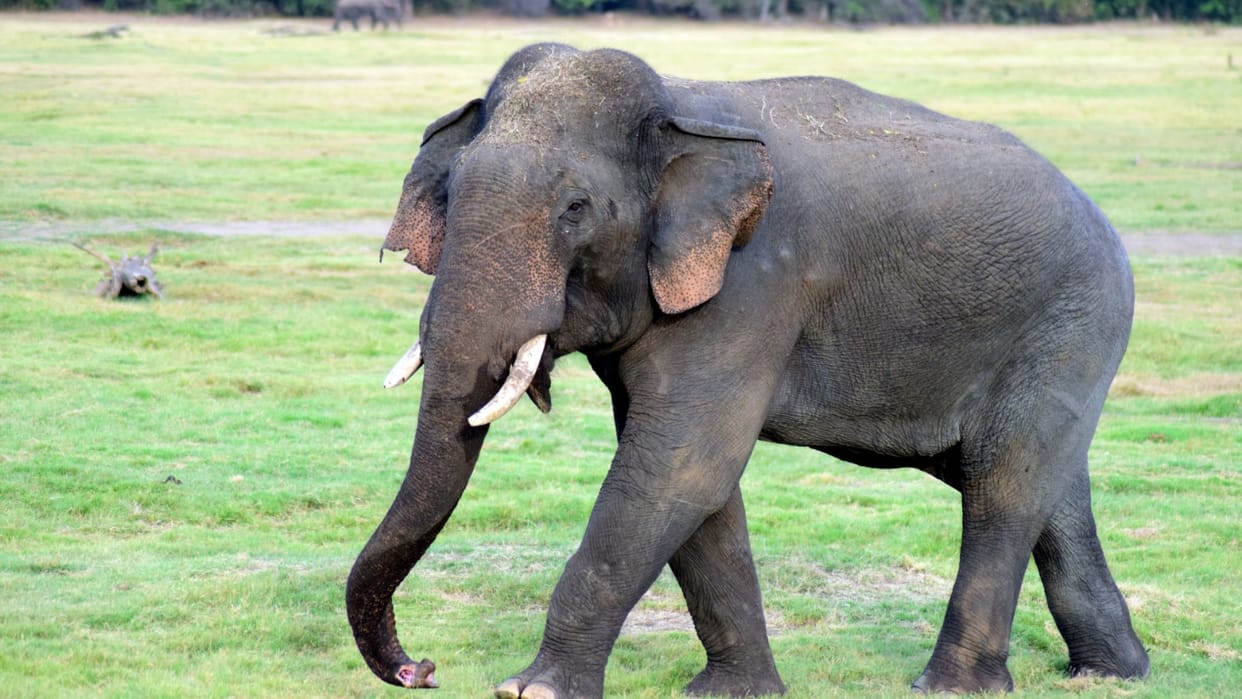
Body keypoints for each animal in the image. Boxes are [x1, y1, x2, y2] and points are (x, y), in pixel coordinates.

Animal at [347, 43, 1150, 697]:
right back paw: (1112, 673)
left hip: (1073, 319)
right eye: (449, 192)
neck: (680, 106)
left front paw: (529, 691)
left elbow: (678, 465)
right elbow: (694, 482)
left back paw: (953, 688)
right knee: (1049, 486)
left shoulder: (752, 285)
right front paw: (735, 692)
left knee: (1003, 484)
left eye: (575, 207)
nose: (421, 669)